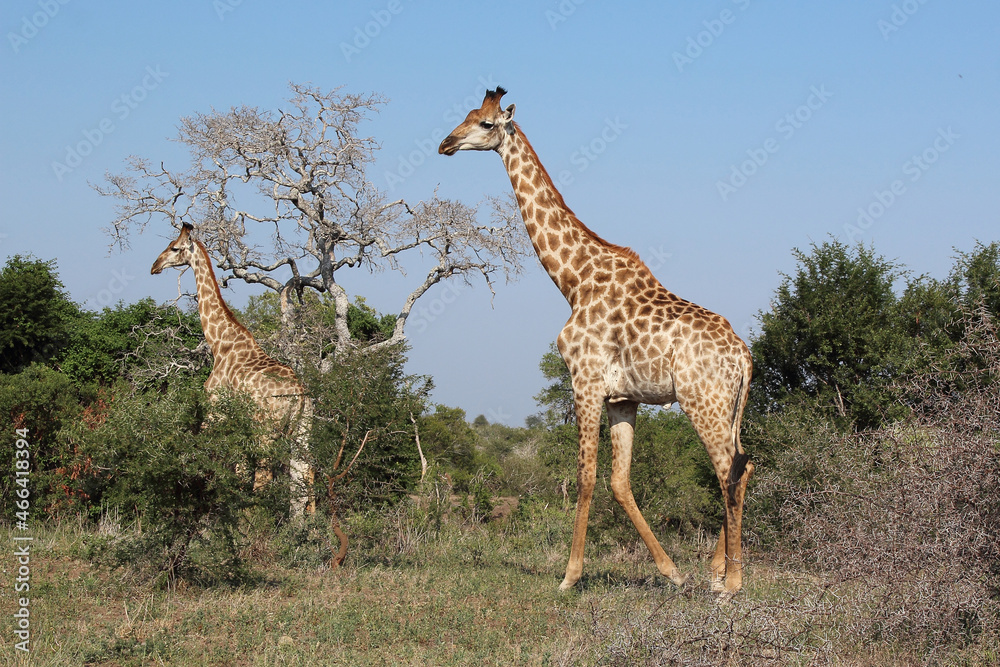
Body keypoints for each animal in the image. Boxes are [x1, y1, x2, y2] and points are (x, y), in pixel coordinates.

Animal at [151, 223, 313, 517]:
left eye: (175, 248)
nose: (154, 266)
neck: (219, 343)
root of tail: (300, 394)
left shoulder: (214, 412)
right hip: (302, 429)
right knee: (304, 477)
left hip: (266, 431)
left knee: (264, 479)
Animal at [439, 88, 754, 595]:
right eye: (466, 115)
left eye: (486, 124)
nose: (445, 143)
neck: (573, 280)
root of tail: (745, 355)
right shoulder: (623, 397)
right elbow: (619, 481)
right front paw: (671, 571)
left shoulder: (584, 382)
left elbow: (585, 476)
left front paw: (569, 577)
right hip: (726, 406)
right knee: (740, 465)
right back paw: (714, 571)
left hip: (701, 400)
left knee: (730, 470)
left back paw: (733, 582)